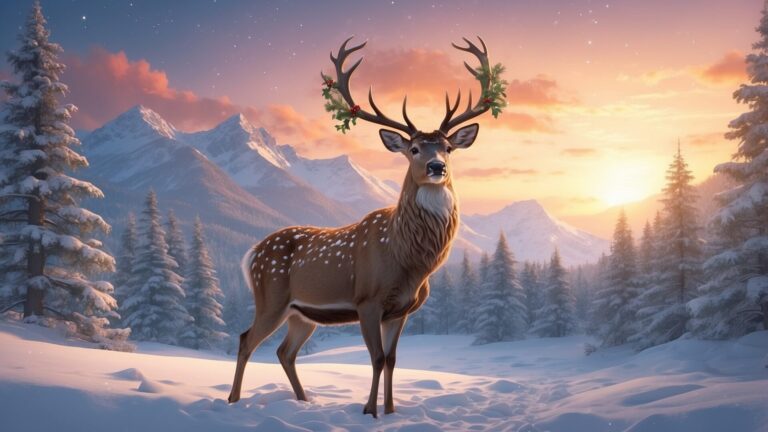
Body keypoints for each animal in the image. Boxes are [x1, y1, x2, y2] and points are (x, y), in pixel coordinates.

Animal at [228, 36, 504, 417]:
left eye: (448, 147)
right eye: (413, 148)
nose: (437, 167)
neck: (408, 260)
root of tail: (252, 252)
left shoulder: (401, 310)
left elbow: (392, 360)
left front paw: (390, 411)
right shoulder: (367, 300)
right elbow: (375, 359)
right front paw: (369, 411)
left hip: (302, 313)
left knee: (285, 352)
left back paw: (304, 401)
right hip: (270, 296)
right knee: (245, 340)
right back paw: (232, 401)